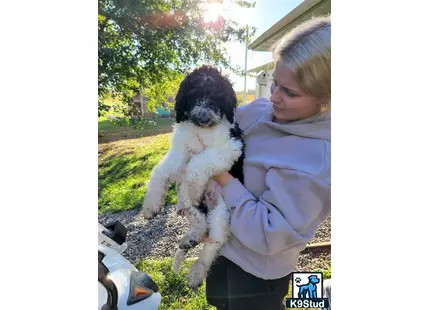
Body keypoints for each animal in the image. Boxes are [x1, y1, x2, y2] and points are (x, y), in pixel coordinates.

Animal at [140, 65, 244, 288]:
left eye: (216, 97)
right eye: (193, 96)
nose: (204, 117)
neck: (202, 131)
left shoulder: (230, 146)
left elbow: (195, 165)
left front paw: (195, 187)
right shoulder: (180, 151)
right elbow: (160, 171)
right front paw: (151, 205)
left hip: (222, 213)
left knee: (213, 242)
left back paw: (197, 270)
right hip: (188, 205)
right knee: (200, 221)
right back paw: (190, 238)